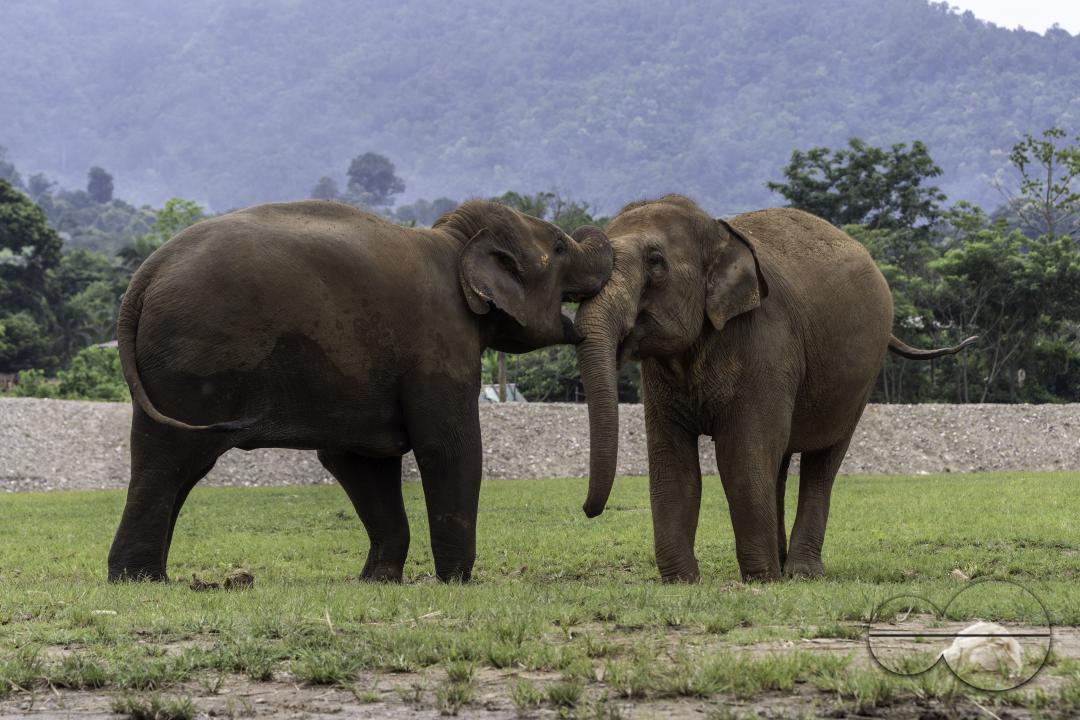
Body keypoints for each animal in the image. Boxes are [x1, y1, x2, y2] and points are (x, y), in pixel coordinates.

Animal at [107, 199, 611, 583]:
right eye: (560, 246)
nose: (588, 512)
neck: (456, 242)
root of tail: (145, 276)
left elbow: (358, 460)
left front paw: (378, 580)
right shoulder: (441, 343)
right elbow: (447, 448)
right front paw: (457, 580)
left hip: (166, 372)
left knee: (173, 459)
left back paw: (148, 577)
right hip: (191, 360)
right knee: (171, 459)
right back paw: (140, 580)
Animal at [573, 195, 974, 582]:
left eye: (656, 261)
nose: (588, 511)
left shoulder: (765, 342)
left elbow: (742, 454)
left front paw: (760, 578)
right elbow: (672, 460)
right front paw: (682, 581)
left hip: (860, 380)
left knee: (822, 461)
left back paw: (800, 573)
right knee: (780, 459)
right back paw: (782, 565)